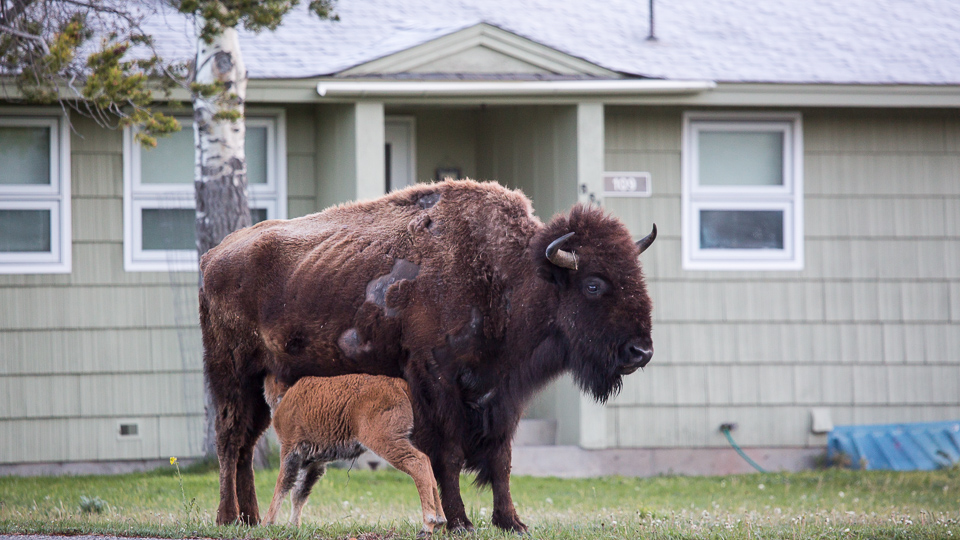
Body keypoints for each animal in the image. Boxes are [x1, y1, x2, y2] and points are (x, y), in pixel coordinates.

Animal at [260, 374, 444, 528]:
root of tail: (398, 384)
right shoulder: (313, 461)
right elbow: (299, 493)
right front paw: (294, 526)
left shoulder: (290, 450)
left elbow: (283, 484)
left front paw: (267, 522)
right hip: (406, 439)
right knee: (427, 462)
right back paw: (440, 520)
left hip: (387, 442)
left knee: (418, 462)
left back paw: (428, 524)